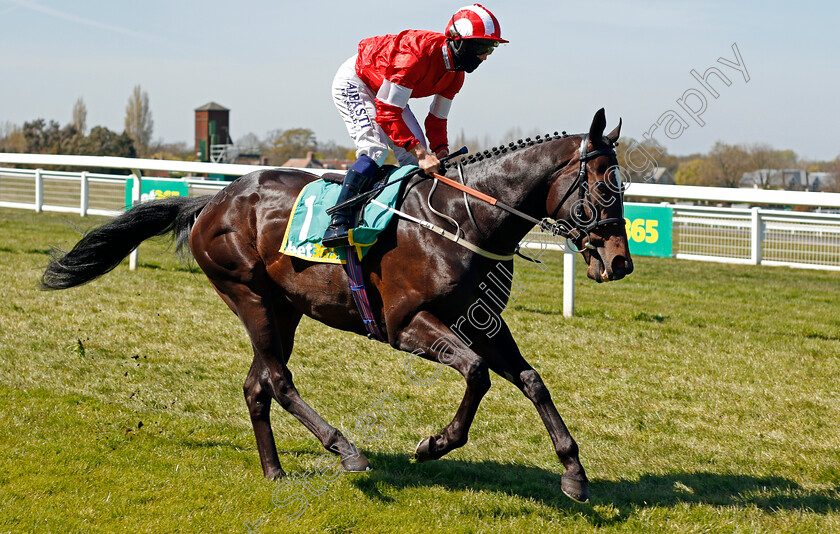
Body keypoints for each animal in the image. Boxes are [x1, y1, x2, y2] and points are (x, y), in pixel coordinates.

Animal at [41, 110, 632, 506]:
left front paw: (574, 473)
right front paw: (435, 444)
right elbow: (477, 373)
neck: (464, 219)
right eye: (605, 188)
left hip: (284, 307)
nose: (620, 261)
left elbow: (531, 380)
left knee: (257, 383)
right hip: (249, 293)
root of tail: (213, 200)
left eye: (624, 187)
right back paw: (345, 450)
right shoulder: (405, 324)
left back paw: (275, 471)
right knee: (278, 380)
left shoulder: (483, 321)